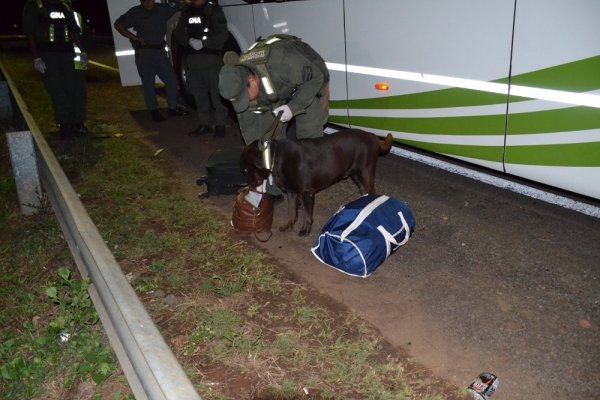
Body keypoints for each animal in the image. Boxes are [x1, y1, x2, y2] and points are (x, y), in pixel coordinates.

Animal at [239, 130, 394, 236]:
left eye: (246, 170)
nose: (250, 185)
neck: (277, 157)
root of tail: (373, 137)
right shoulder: (291, 192)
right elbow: (291, 211)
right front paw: (288, 225)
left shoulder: (307, 193)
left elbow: (307, 215)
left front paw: (305, 230)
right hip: (357, 176)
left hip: (365, 174)